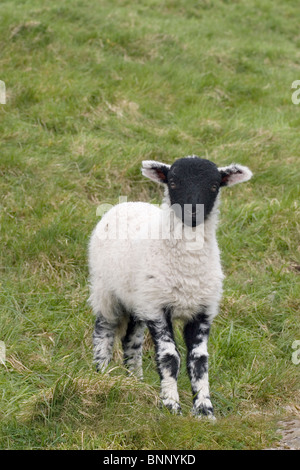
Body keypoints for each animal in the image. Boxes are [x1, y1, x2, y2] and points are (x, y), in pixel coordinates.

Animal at [88, 157, 252, 418]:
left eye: (214, 185)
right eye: (173, 182)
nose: (193, 212)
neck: (187, 268)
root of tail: (128, 203)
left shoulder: (202, 311)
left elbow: (199, 360)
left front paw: (204, 410)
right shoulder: (157, 308)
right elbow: (169, 357)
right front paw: (171, 405)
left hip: (138, 299)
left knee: (131, 341)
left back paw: (135, 382)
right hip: (106, 291)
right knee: (104, 330)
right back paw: (102, 374)